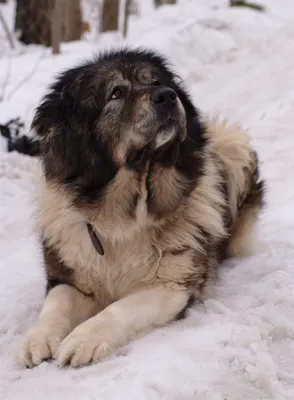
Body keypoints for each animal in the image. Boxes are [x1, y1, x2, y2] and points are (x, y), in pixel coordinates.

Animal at [19, 47, 266, 368]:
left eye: (157, 81)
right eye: (117, 92)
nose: (168, 96)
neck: (125, 214)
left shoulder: (169, 288)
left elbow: (118, 309)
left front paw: (82, 340)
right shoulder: (70, 280)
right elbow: (55, 306)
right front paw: (36, 338)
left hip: (232, 144)